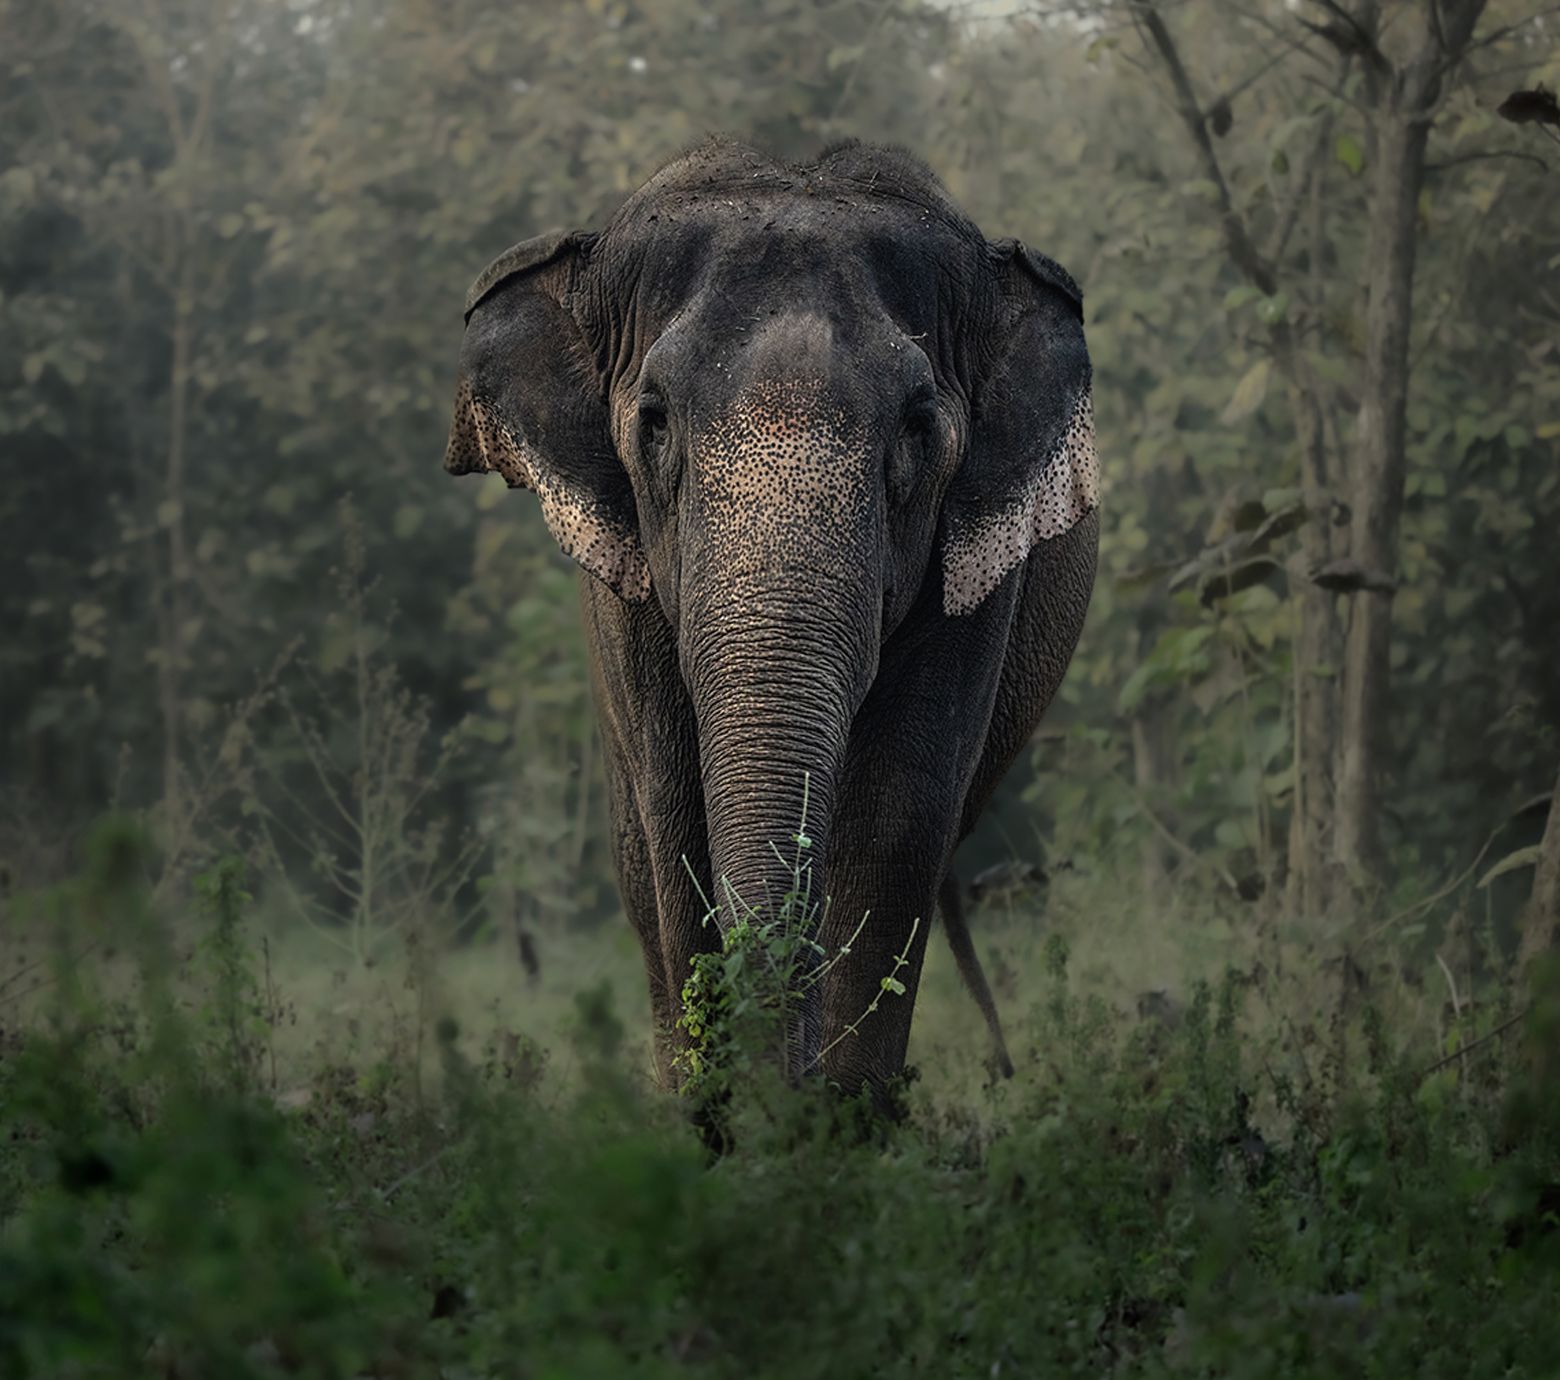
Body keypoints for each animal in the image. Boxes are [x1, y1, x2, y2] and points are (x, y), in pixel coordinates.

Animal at [443, 139, 1098, 1099]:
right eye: (653, 422)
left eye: (918, 428)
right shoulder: (632, 593)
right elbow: (677, 818)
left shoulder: (973, 581)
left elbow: (897, 821)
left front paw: (832, 1115)